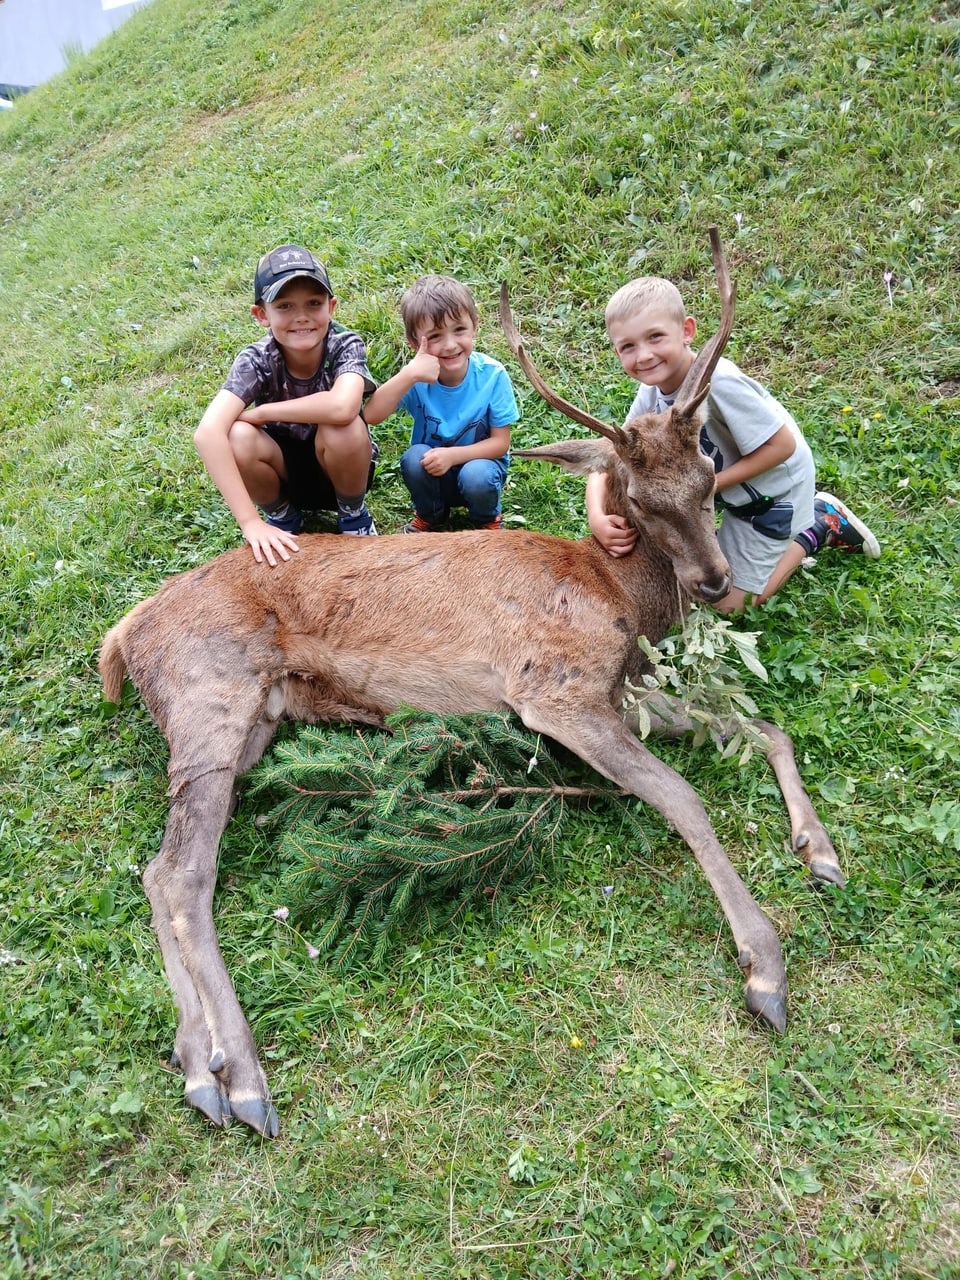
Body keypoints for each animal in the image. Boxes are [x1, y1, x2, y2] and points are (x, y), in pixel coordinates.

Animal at [101, 225, 844, 1136]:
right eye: (637, 498)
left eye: (709, 473)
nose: (711, 582)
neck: (616, 596)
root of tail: (124, 634)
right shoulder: (553, 687)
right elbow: (681, 797)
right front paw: (764, 967)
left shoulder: (621, 689)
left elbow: (761, 726)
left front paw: (819, 850)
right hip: (211, 699)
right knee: (185, 874)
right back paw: (238, 1076)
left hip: (252, 722)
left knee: (155, 869)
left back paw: (194, 1062)